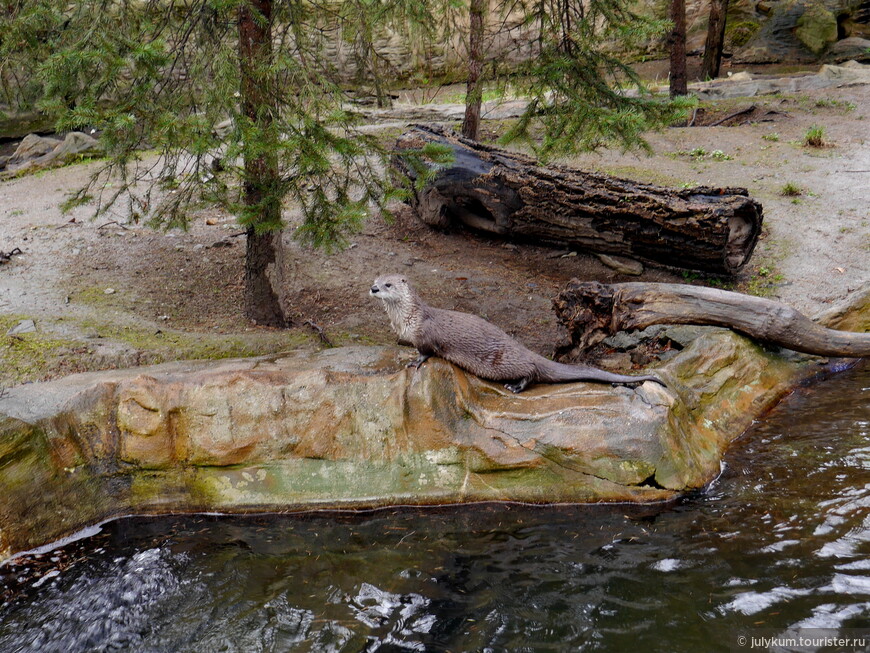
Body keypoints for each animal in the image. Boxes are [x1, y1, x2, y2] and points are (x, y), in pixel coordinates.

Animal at [370, 274, 668, 392]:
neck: (407, 318)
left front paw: (414, 362)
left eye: (388, 284)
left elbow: (425, 351)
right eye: (375, 281)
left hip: (505, 362)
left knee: (531, 371)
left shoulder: (425, 335)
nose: (373, 289)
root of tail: (527, 351)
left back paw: (515, 386)